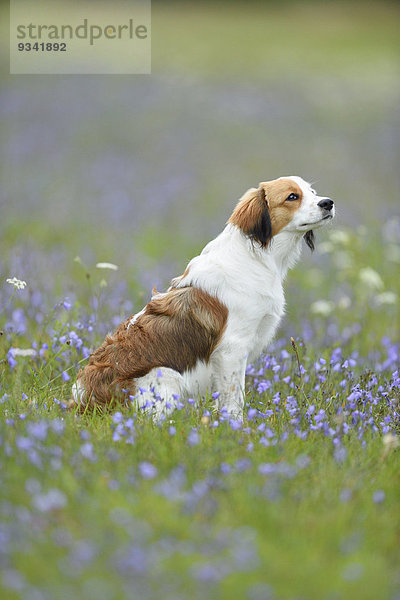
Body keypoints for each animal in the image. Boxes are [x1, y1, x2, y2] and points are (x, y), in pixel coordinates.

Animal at [72, 176, 334, 420]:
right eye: (292, 197)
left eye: (312, 192)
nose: (328, 202)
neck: (255, 257)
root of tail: (83, 400)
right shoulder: (232, 349)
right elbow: (234, 398)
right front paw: (236, 427)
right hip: (166, 376)